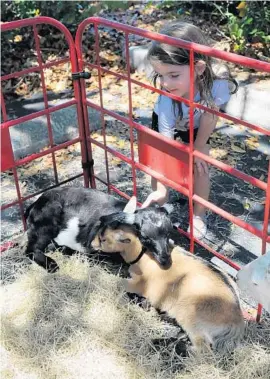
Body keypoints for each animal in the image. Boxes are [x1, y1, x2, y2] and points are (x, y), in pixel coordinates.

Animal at [24, 187, 174, 274]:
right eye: (145, 237)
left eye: (168, 233)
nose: (165, 260)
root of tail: (36, 202)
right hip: (44, 226)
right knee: (31, 249)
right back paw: (51, 265)